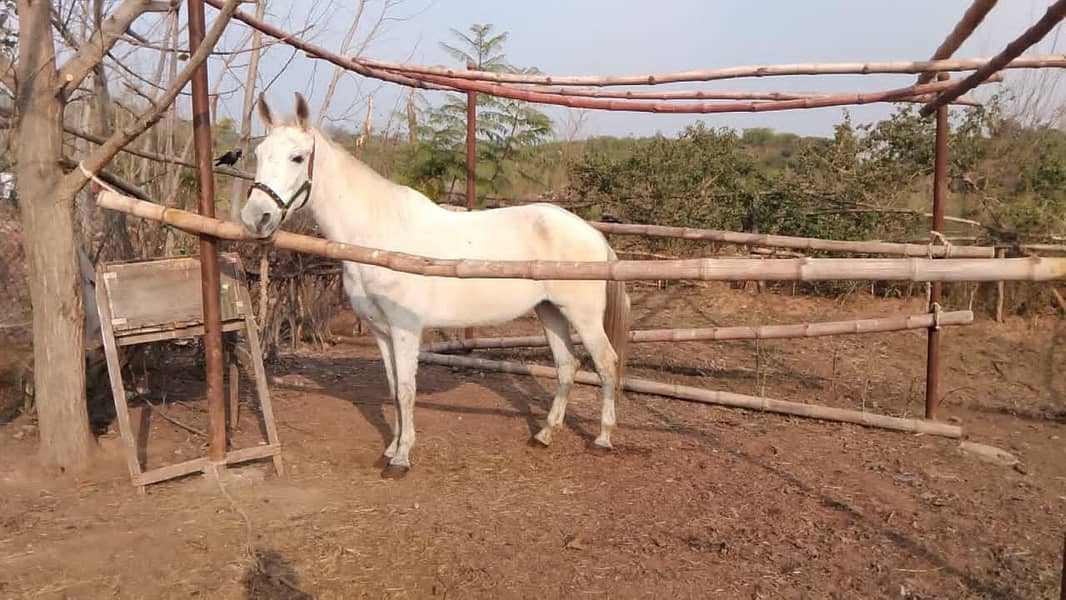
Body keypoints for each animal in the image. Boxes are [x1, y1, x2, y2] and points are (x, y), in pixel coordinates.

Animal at [240, 92, 630, 478]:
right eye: (258, 154)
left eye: (297, 157)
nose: (255, 218)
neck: (380, 237)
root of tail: (592, 232)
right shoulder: (381, 331)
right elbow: (393, 389)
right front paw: (390, 449)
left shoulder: (405, 330)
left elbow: (407, 390)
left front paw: (401, 459)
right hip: (550, 311)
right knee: (567, 365)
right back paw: (545, 434)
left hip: (583, 316)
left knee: (606, 363)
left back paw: (602, 439)